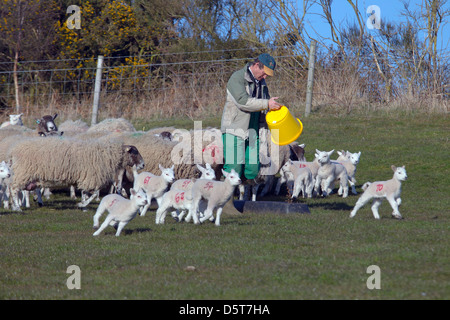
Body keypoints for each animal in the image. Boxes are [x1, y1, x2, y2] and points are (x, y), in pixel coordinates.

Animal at [7, 137, 145, 210]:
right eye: (135, 152)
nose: (143, 165)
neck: (109, 155)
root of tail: (13, 151)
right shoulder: (91, 176)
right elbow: (95, 193)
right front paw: (82, 204)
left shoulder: (87, 176)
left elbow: (87, 193)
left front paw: (83, 204)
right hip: (23, 172)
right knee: (14, 189)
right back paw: (17, 207)